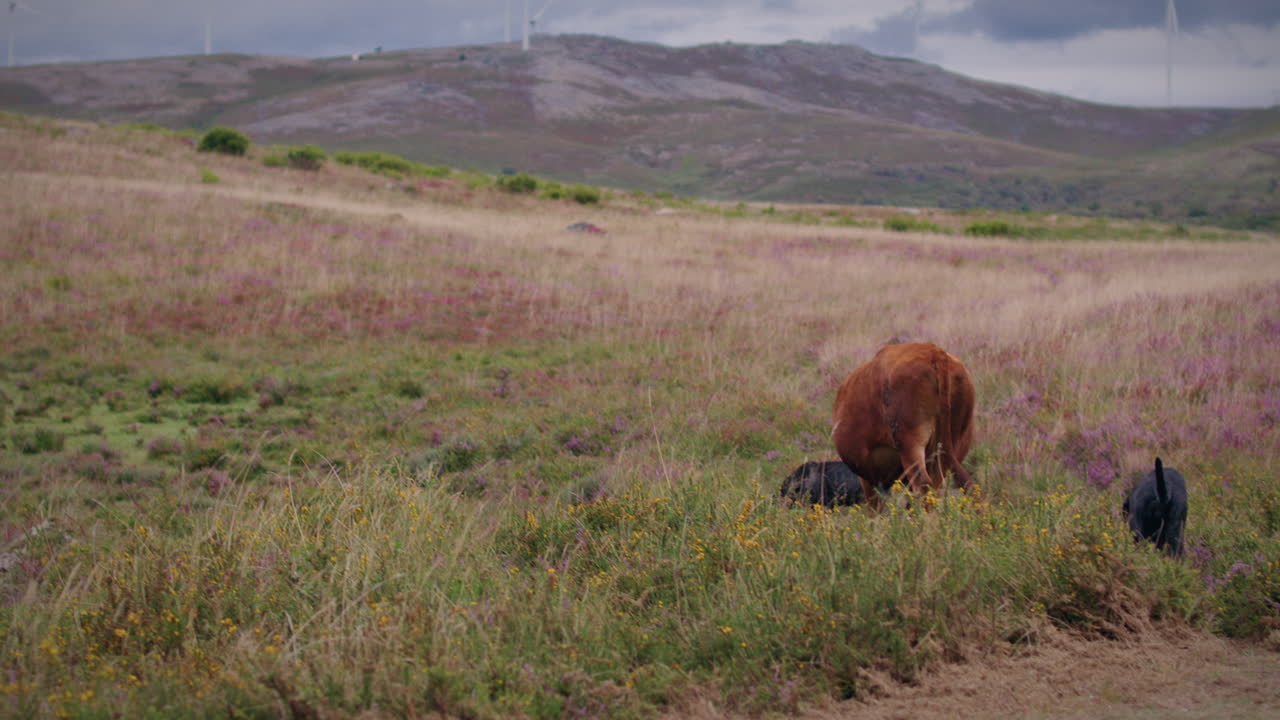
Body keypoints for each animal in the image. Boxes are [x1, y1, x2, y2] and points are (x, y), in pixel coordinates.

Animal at [831, 342, 975, 510]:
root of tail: (933, 351)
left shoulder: (867, 478)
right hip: (949, 449)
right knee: (964, 485)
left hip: (910, 445)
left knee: (924, 487)